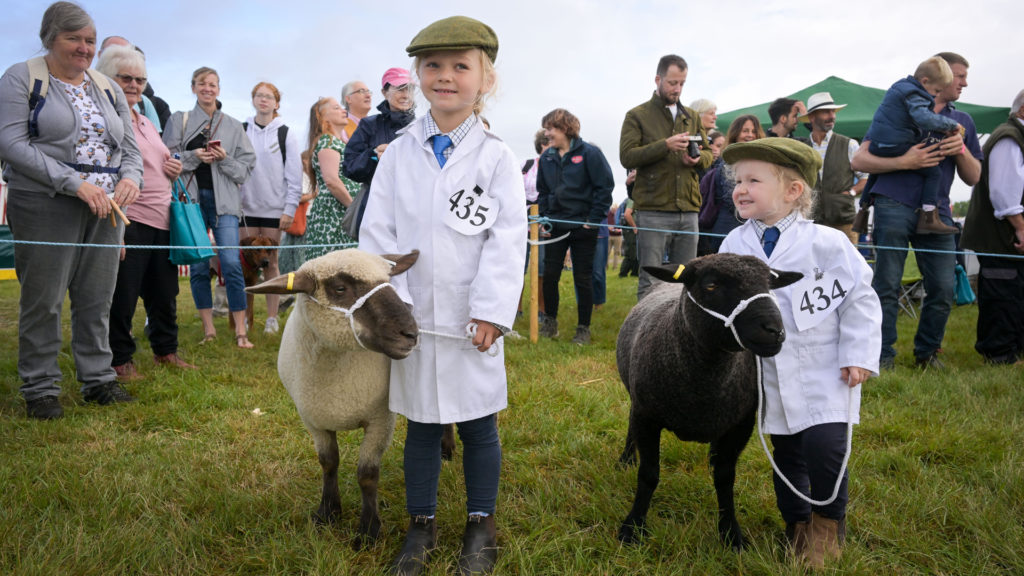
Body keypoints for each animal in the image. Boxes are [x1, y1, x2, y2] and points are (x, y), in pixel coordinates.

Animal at [246, 247, 419, 537]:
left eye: (389, 280)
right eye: (340, 288)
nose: (410, 334)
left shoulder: (381, 420)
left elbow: (367, 474)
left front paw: (368, 530)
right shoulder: (313, 420)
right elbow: (329, 463)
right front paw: (327, 513)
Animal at [610, 254, 802, 545]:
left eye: (769, 284)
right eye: (711, 285)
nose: (774, 330)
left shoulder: (740, 425)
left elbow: (725, 477)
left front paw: (731, 534)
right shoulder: (647, 416)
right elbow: (649, 474)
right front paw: (633, 528)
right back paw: (626, 459)